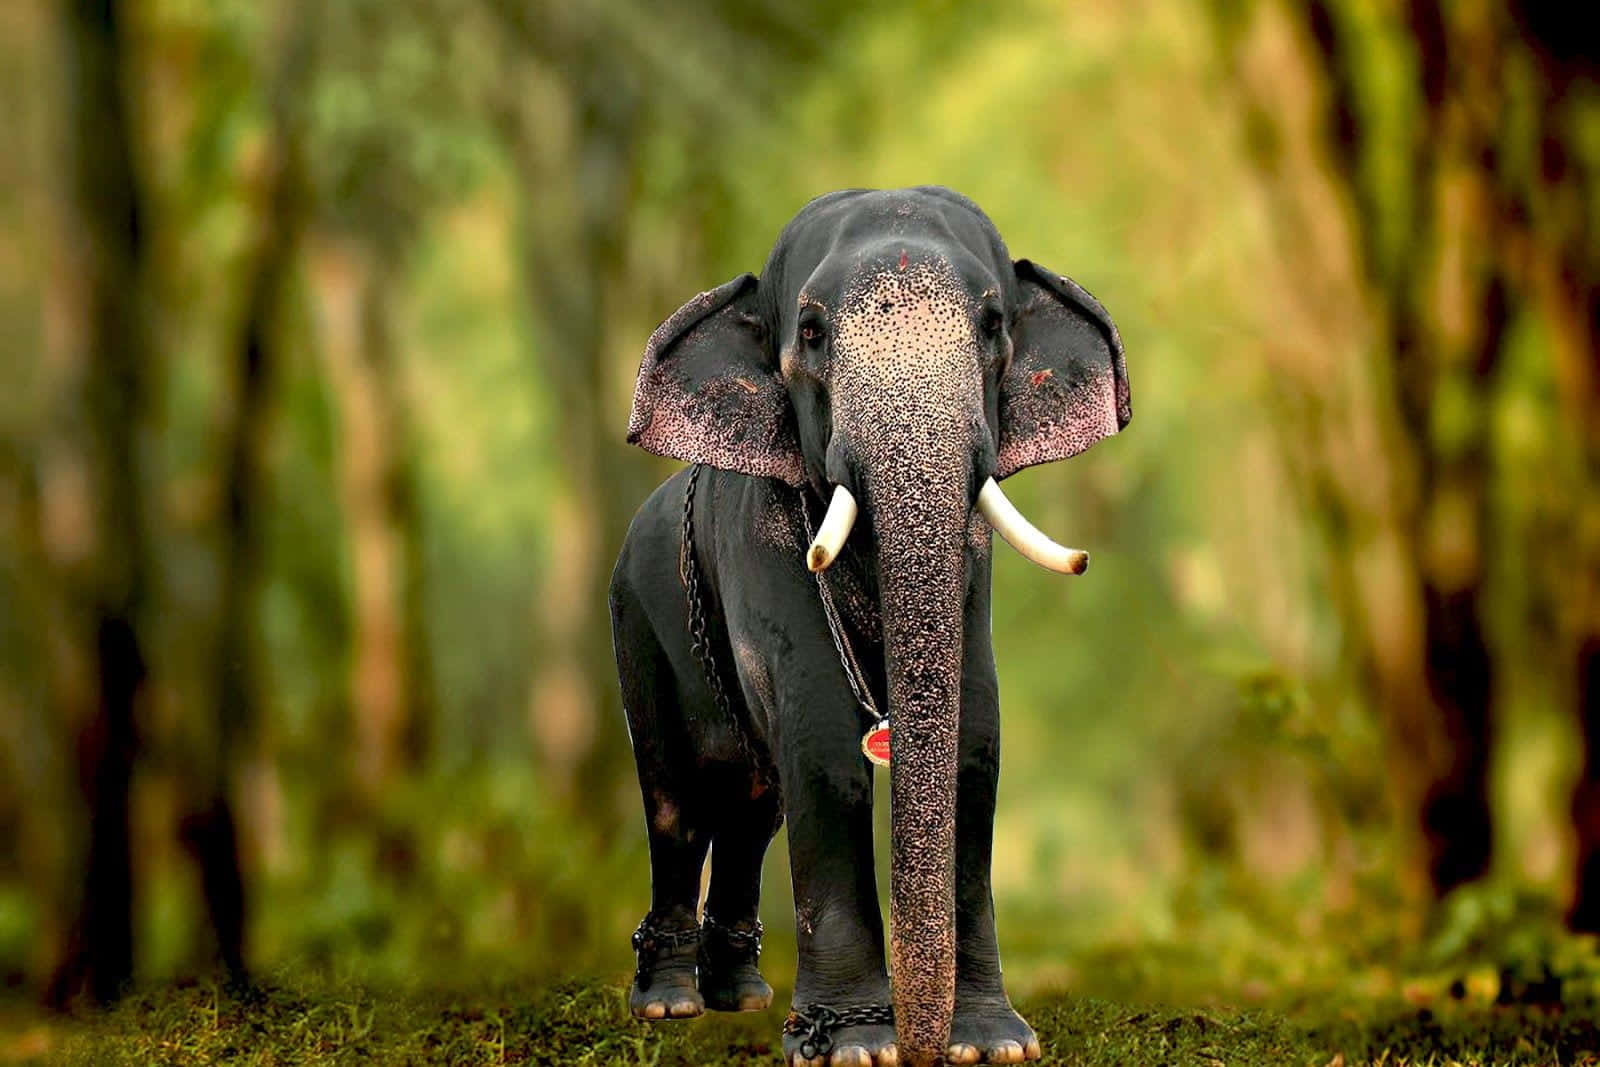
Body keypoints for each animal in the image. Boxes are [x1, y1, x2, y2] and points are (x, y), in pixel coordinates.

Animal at [610, 186, 1130, 1067]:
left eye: (993, 323)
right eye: (813, 334)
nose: (927, 1045)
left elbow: (975, 730)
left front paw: (991, 1042)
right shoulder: (764, 543)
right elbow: (821, 734)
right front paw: (856, 1046)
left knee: (751, 808)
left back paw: (741, 995)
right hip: (635, 625)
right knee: (676, 800)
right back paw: (671, 1004)